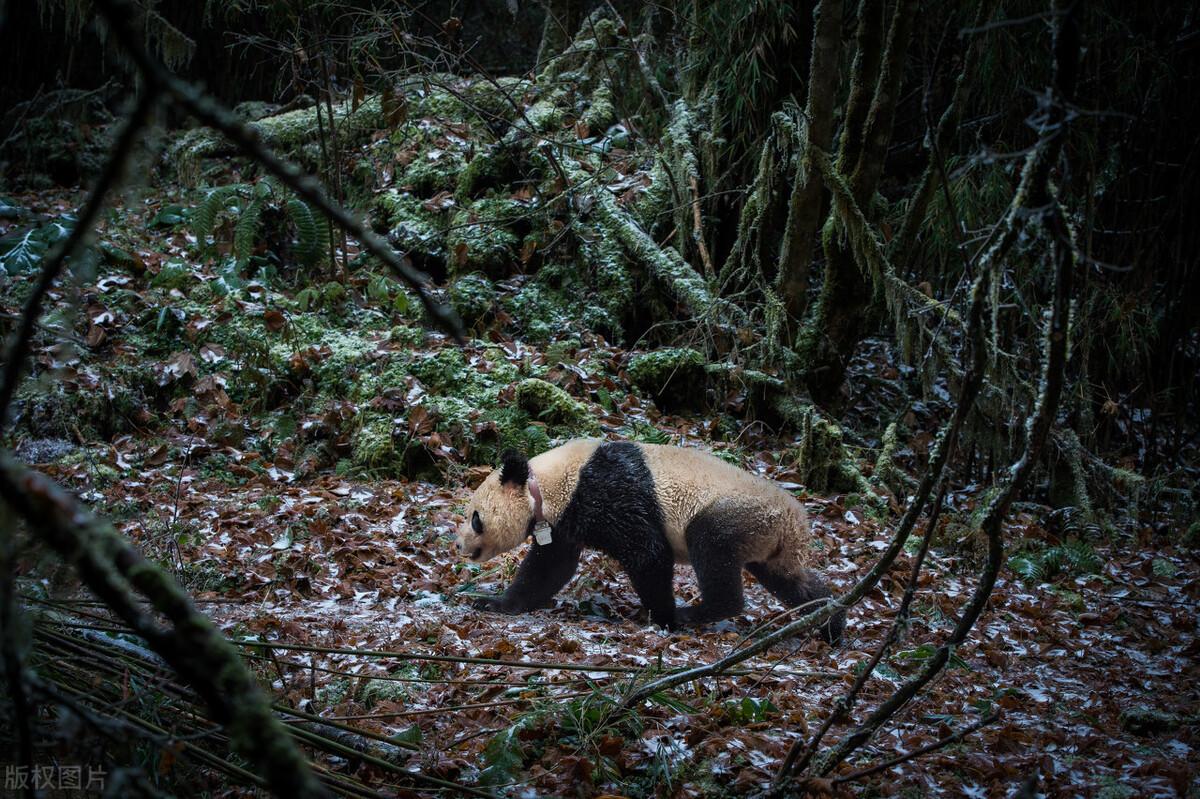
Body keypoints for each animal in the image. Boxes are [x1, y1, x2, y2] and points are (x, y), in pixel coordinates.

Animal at [453, 436, 849, 643]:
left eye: (475, 518)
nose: (459, 547)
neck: (547, 483)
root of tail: (795, 522)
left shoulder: (608, 494)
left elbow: (648, 553)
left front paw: (663, 617)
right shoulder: (566, 521)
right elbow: (550, 567)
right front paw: (495, 603)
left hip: (736, 513)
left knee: (711, 547)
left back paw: (696, 613)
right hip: (764, 540)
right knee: (789, 579)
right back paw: (829, 620)